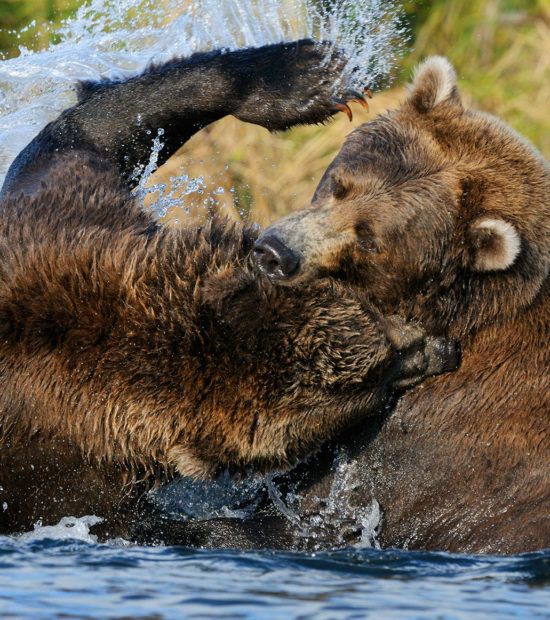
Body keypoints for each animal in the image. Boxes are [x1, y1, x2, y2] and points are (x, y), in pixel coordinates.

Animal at [0, 40, 460, 544]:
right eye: (369, 382)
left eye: (371, 312)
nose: (444, 347)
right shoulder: (64, 474)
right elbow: (160, 526)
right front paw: (322, 524)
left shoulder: (66, 218)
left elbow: (91, 131)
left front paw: (312, 75)